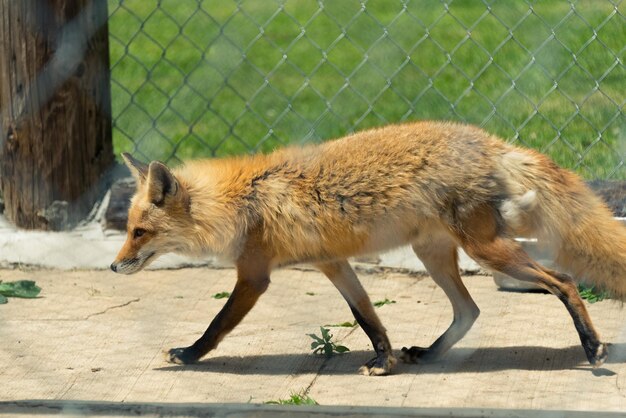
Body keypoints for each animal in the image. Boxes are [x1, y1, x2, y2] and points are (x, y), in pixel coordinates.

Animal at [112, 120, 624, 376]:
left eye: (139, 232)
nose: (115, 267)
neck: (243, 201)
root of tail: (492, 143)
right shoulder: (332, 263)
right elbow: (367, 317)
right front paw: (383, 360)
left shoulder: (254, 275)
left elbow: (217, 325)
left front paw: (189, 355)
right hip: (435, 255)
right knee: (469, 311)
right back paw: (429, 355)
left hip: (487, 250)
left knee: (564, 281)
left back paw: (593, 349)